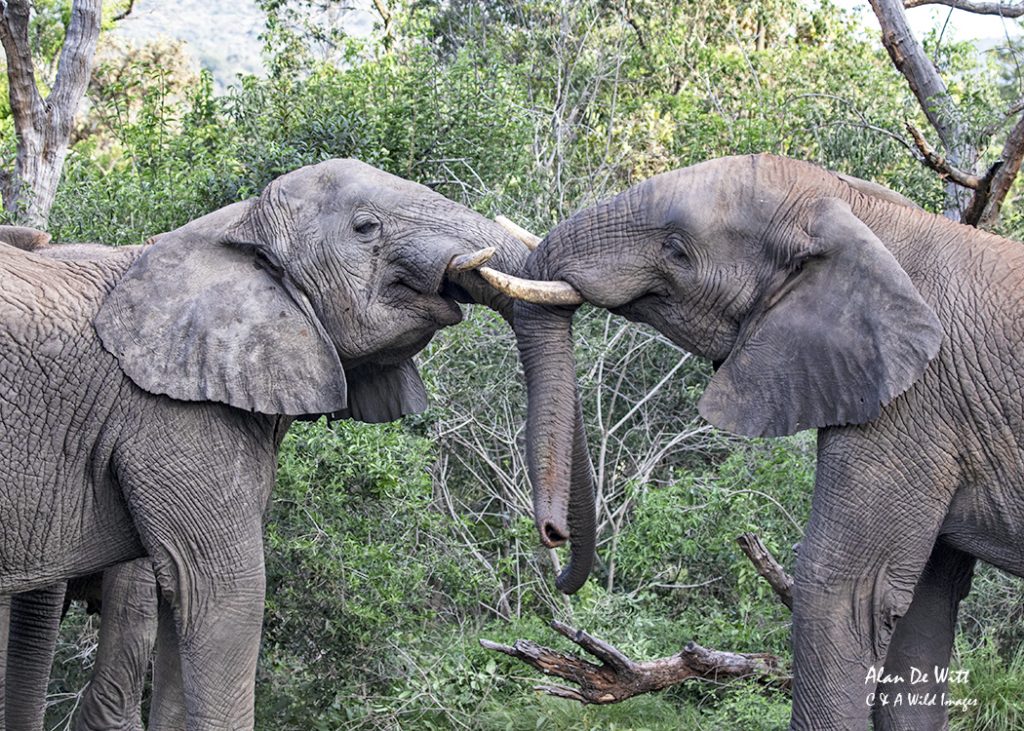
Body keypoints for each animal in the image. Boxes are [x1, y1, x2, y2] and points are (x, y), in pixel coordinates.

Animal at [493, 153, 1024, 730]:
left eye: (676, 250)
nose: (553, 537)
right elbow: (919, 614)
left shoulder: (916, 402)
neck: (862, 214)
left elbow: (846, 591)